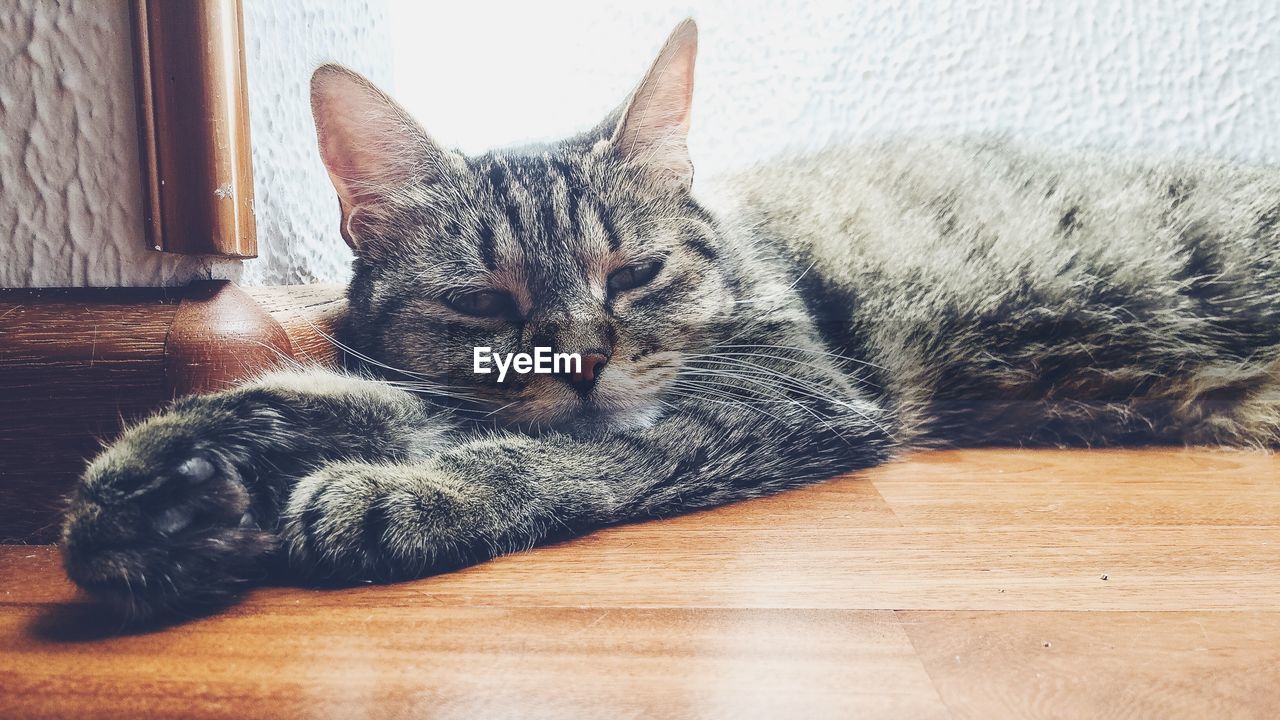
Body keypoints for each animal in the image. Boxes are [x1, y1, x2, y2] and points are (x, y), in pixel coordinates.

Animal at [60, 19, 1280, 620]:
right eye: (483, 301)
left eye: (634, 274)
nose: (584, 363)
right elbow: (314, 395)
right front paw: (150, 495)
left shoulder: (782, 391)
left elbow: (561, 458)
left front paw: (412, 494)